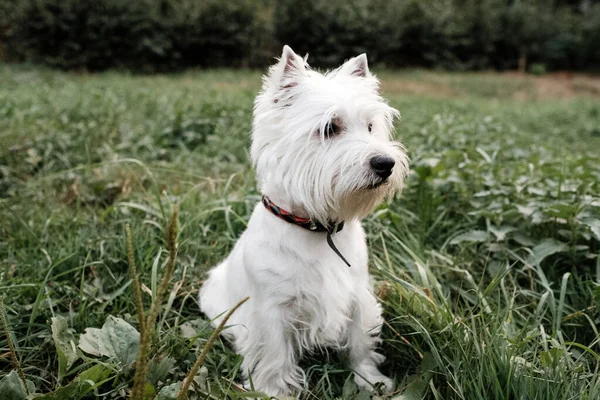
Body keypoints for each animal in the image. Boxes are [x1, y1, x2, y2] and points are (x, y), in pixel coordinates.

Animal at [199, 45, 410, 396]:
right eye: (329, 128)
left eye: (370, 126)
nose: (385, 163)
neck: (318, 228)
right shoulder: (271, 310)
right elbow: (274, 357)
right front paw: (274, 393)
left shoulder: (357, 297)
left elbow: (360, 344)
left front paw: (371, 381)